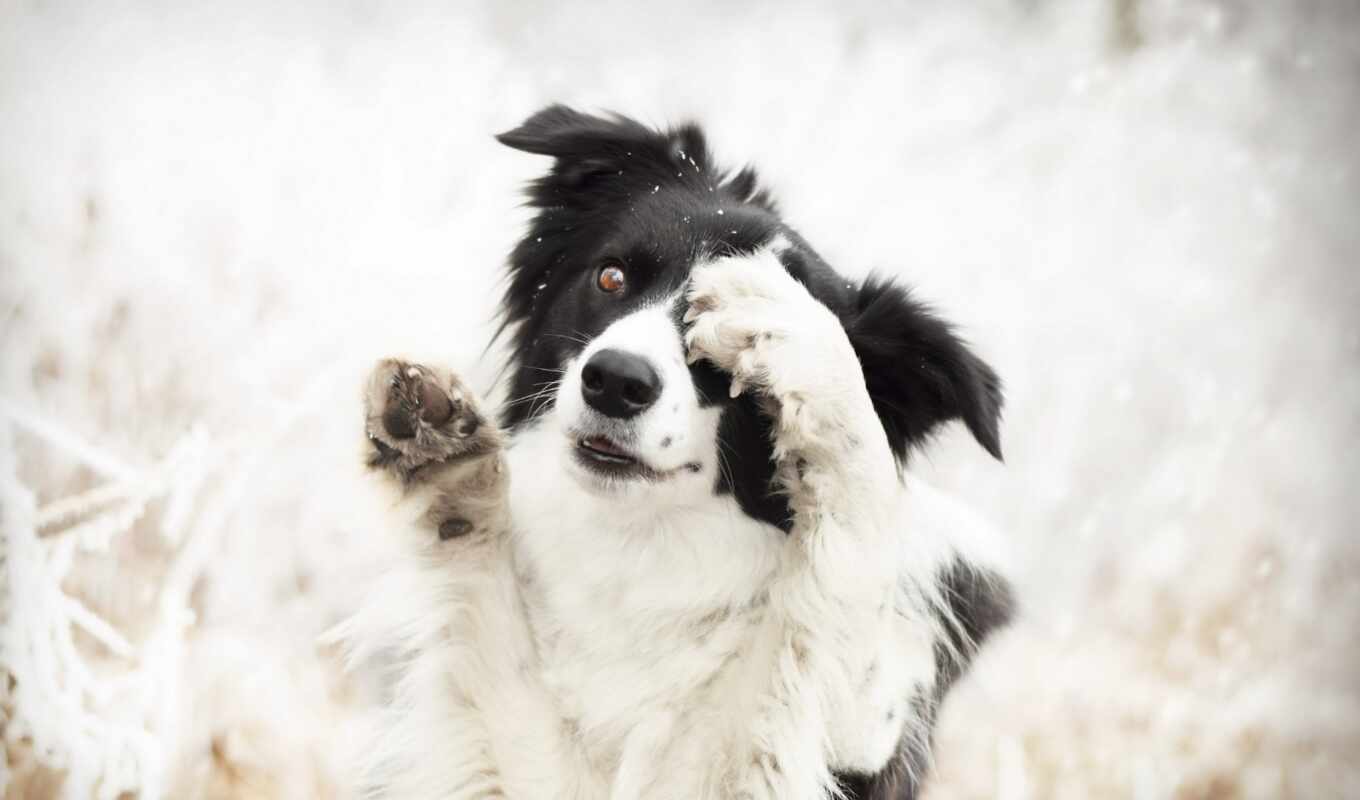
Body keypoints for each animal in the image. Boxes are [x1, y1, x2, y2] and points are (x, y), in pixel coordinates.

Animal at [345, 107, 1017, 800]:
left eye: (733, 363)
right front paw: (444, 458)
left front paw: (793, 324)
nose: (614, 381)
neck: (643, 548)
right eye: (611, 277)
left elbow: (850, 563)